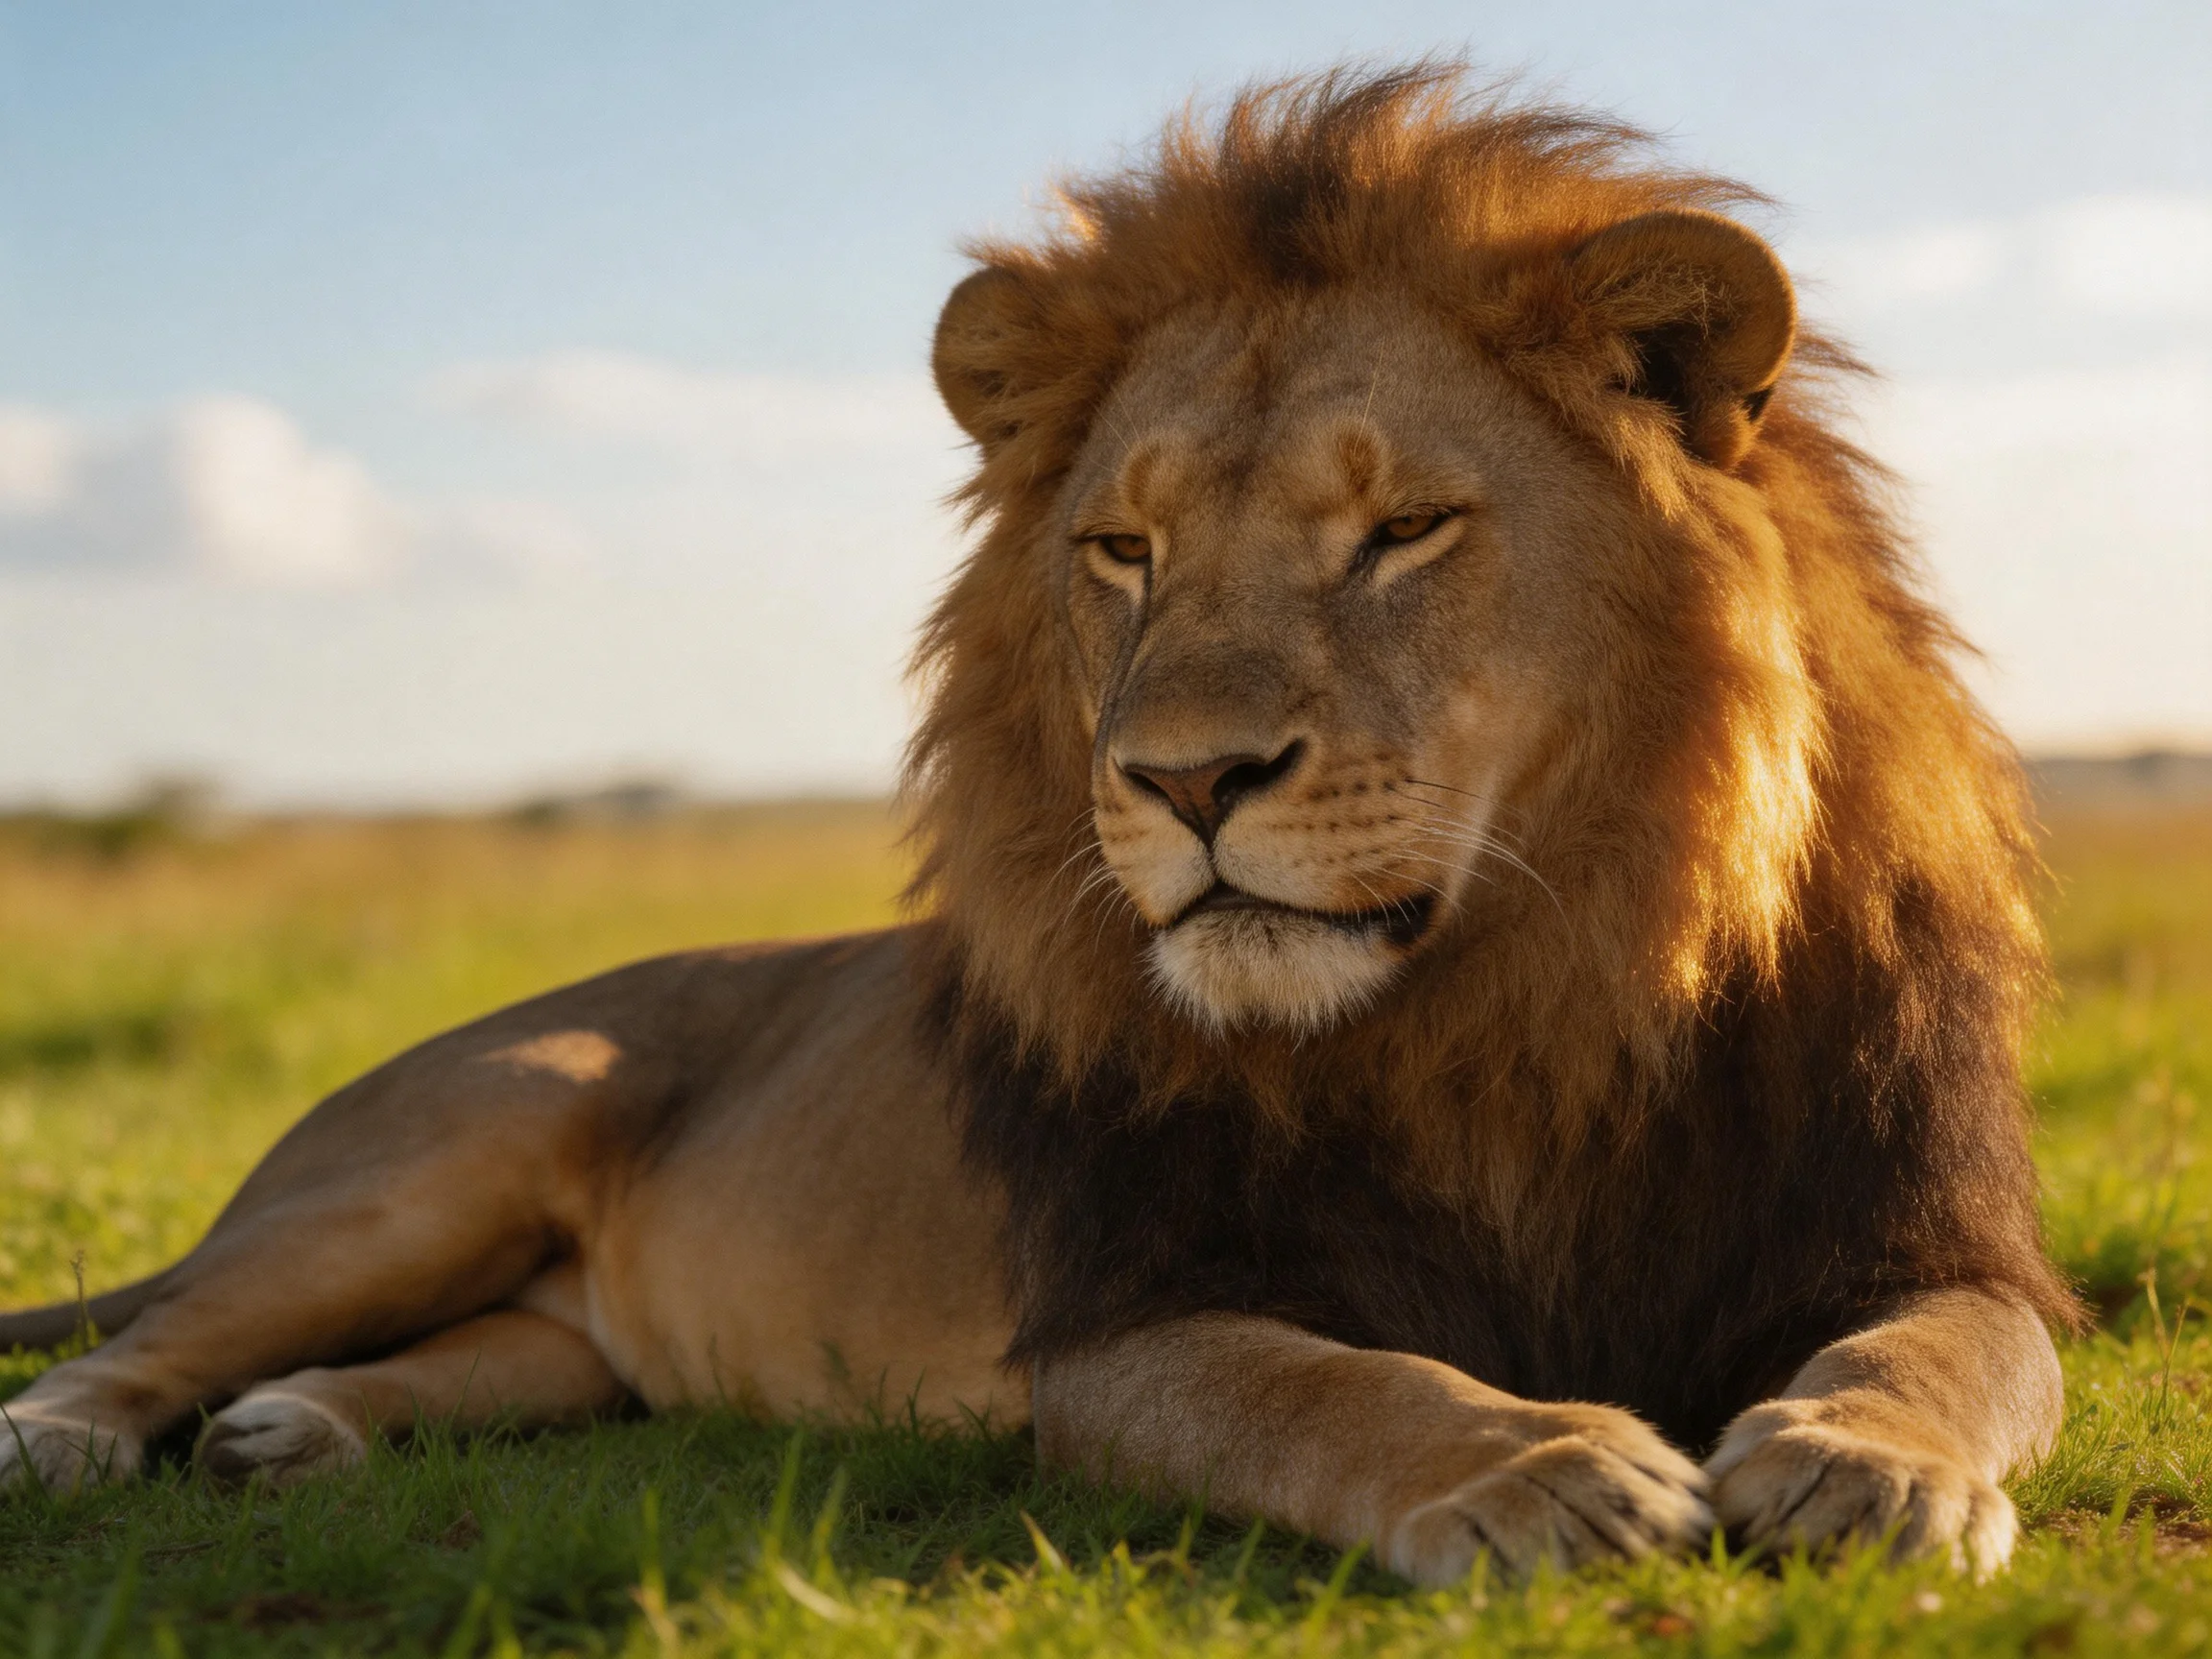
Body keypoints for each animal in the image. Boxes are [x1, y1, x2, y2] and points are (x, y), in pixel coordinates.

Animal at [2, 66, 2074, 1584]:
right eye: (1122, 549)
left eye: (1403, 529)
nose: (1185, 780)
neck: (1524, 999)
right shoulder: (1128, 1328)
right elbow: (1335, 1390)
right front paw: (1541, 1466)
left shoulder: (1923, 1237)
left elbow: (1948, 1349)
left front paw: (1862, 1463)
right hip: (440, 1156)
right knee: (150, 1335)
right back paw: (62, 1440)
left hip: (554, 1328)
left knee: (480, 1362)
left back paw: (306, 1427)